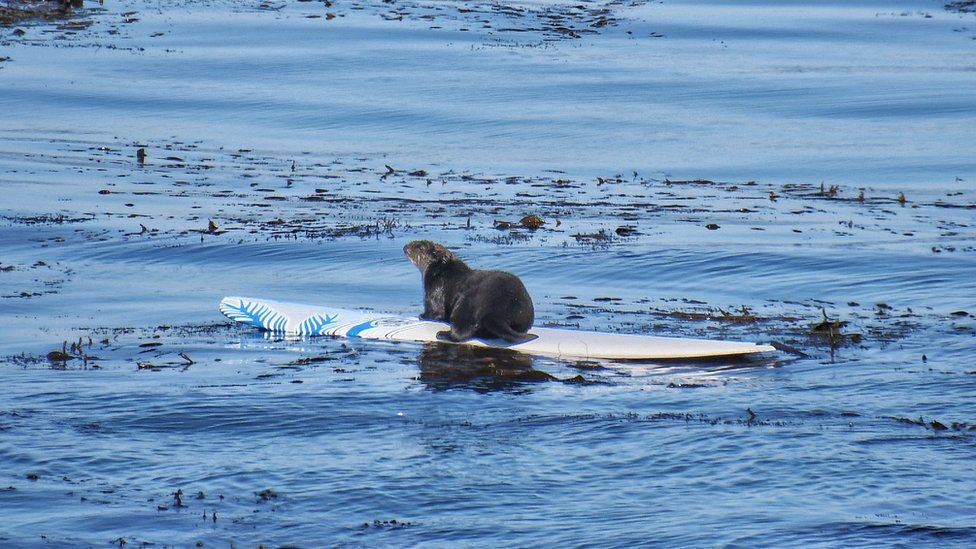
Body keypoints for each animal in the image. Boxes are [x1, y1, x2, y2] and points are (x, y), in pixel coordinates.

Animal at [408, 240, 536, 342]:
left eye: (419, 247)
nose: (406, 247)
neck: (443, 270)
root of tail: (497, 312)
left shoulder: (434, 288)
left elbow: (435, 311)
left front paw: (423, 315)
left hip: (466, 304)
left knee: (461, 331)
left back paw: (442, 334)